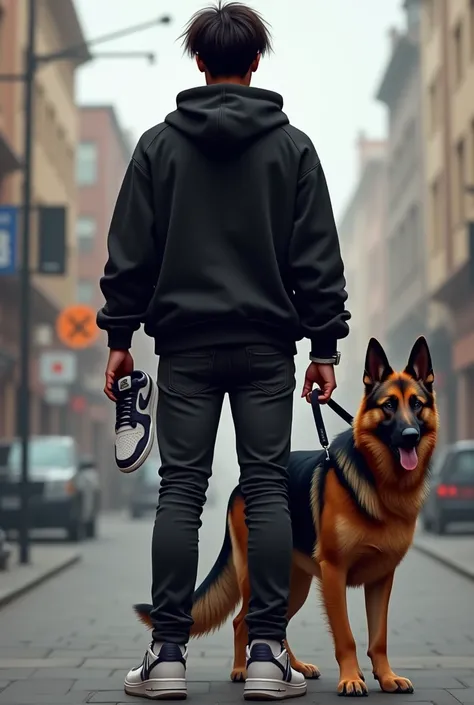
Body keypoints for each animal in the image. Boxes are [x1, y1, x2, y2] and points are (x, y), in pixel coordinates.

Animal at [133, 338, 436, 696]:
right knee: (242, 621)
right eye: (388, 405)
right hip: (258, 577)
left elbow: (379, 637)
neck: (378, 481)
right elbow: (346, 636)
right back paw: (241, 669)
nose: (410, 436)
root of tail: (240, 486)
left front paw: (386, 677)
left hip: (294, 583)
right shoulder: (334, 574)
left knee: (276, 623)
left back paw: (292, 666)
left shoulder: (381, 579)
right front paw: (351, 678)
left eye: (416, 404)